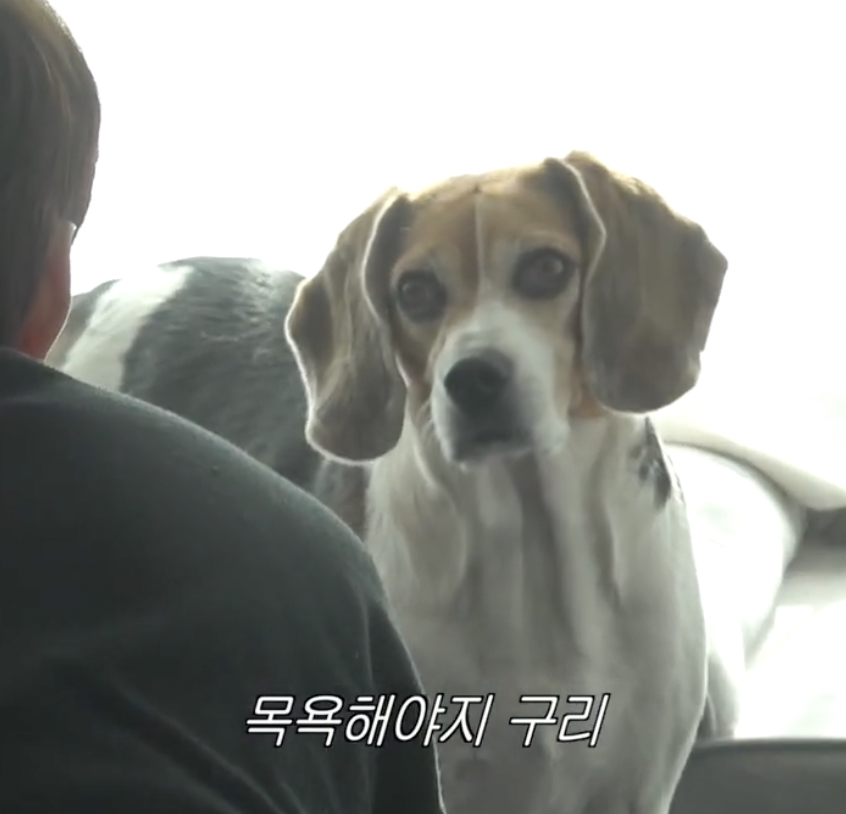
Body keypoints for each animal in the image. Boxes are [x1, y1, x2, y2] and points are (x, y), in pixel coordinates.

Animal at [50, 151, 729, 814]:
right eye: (415, 291)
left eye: (547, 268)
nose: (473, 379)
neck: (530, 546)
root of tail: (93, 295)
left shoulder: (635, 790)